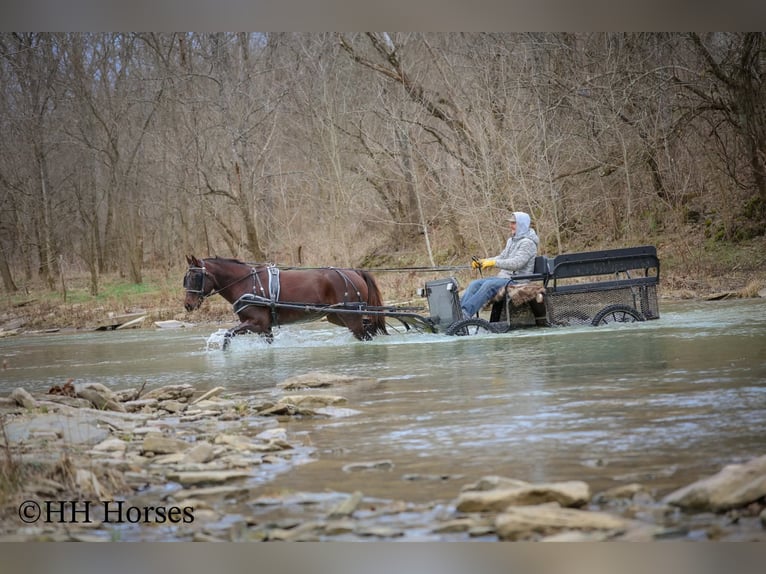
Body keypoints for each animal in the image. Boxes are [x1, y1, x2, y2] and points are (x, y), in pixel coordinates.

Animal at [183, 255, 387, 347]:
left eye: (195, 277)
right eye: (187, 278)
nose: (188, 305)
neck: (246, 283)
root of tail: (355, 272)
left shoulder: (256, 323)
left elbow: (227, 335)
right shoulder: (265, 328)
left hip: (350, 317)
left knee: (365, 335)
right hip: (337, 316)